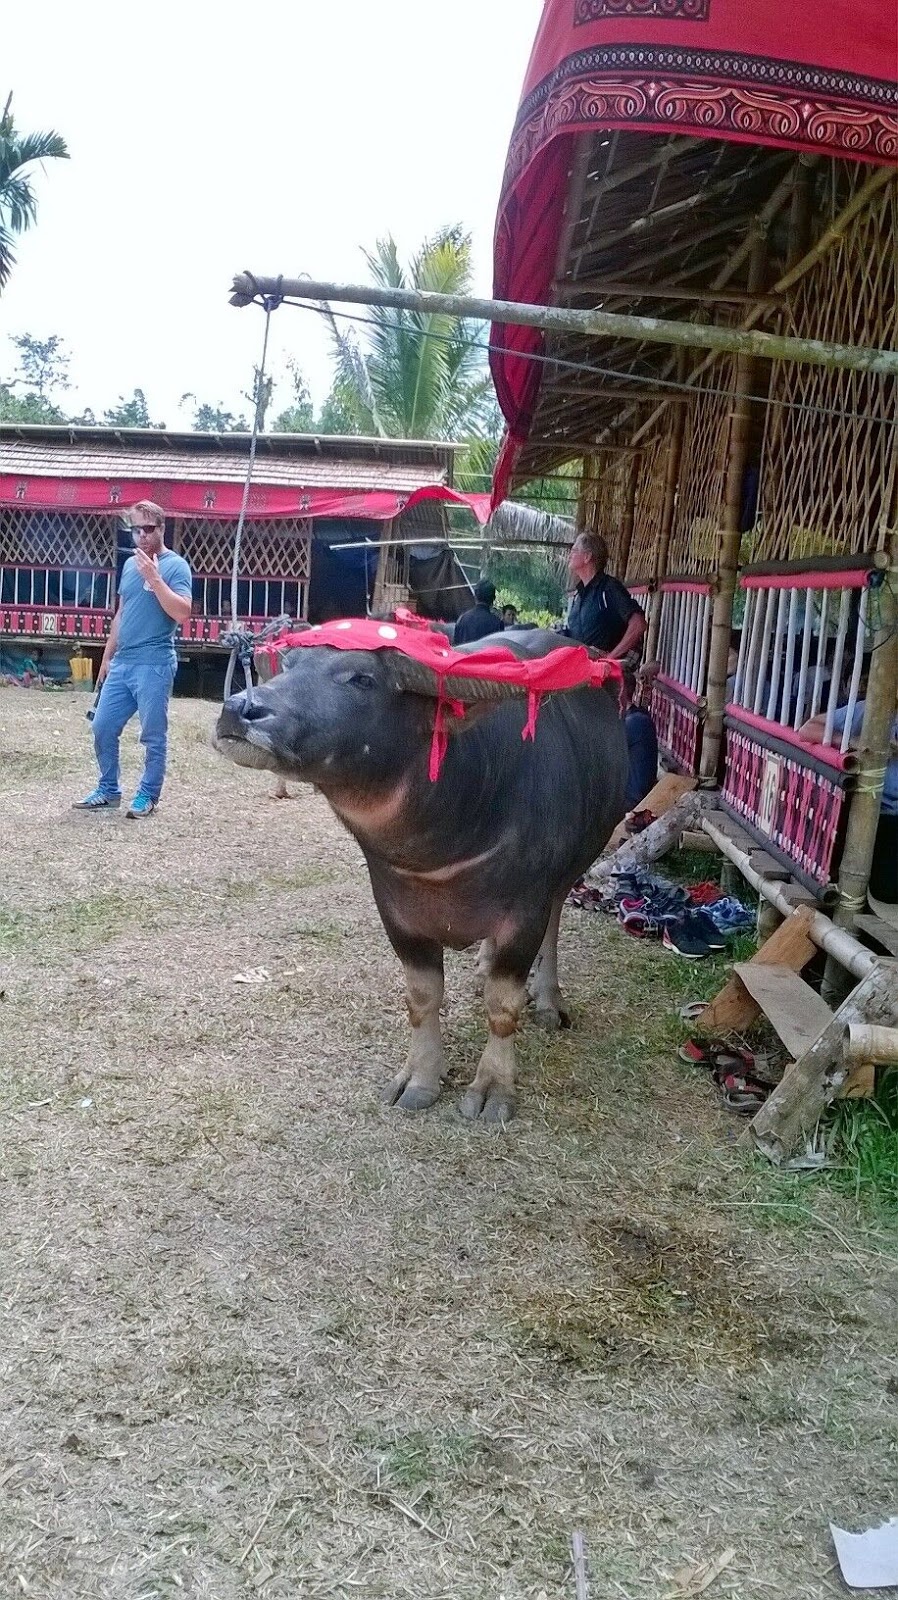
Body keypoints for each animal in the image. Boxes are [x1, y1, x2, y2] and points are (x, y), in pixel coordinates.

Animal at [212, 627, 627, 1126]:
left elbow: (502, 1005)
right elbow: (422, 997)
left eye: (362, 678)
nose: (240, 709)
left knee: (556, 921)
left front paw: (493, 1087)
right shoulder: (396, 911)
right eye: (290, 665)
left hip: (569, 873)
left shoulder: (526, 911)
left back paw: (548, 999)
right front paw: (421, 1078)